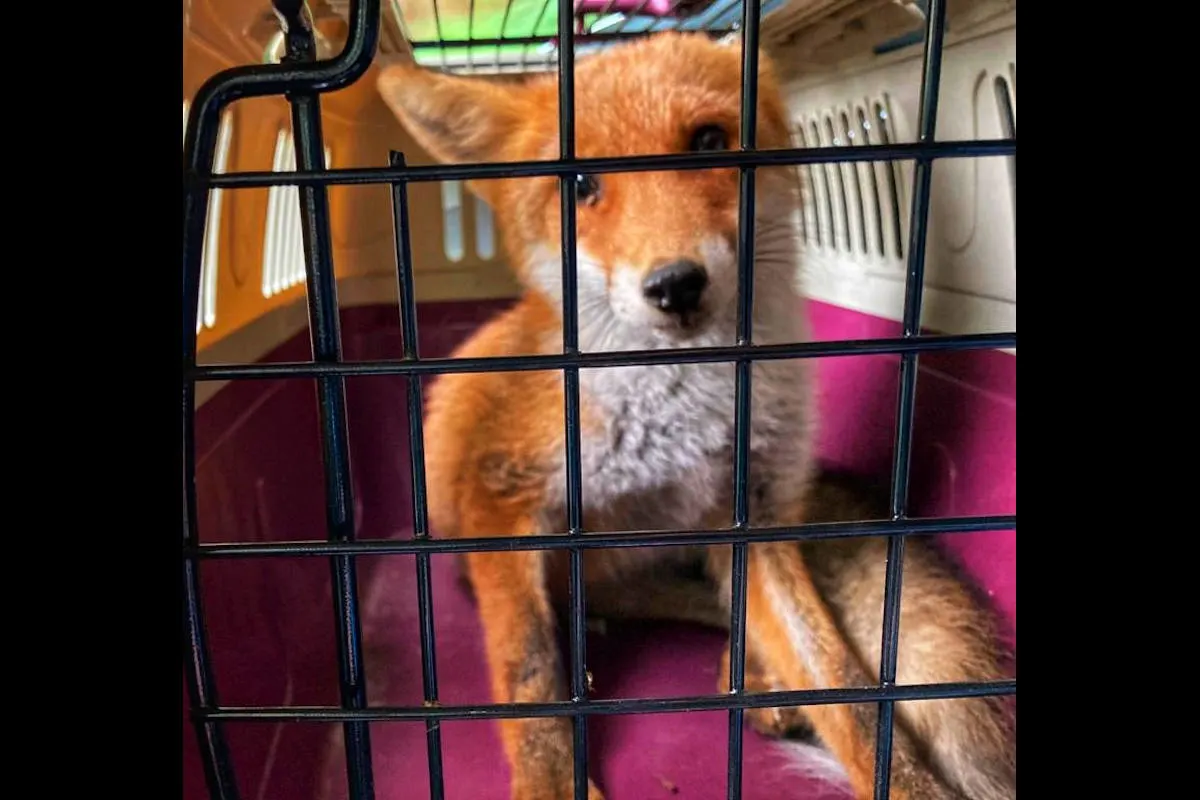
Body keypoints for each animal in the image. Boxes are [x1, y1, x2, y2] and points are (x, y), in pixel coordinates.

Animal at [375, 31, 1015, 800]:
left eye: (709, 140)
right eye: (580, 187)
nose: (675, 284)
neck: (678, 421)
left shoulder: (754, 520)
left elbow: (846, 685)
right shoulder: (501, 500)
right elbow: (531, 679)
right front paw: (551, 782)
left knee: (713, 603)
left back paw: (750, 670)